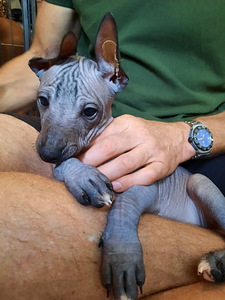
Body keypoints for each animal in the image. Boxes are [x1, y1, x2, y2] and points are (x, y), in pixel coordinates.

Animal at [29, 12, 225, 300]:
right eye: (43, 101)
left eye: (90, 112)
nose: (47, 153)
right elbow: (66, 165)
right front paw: (83, 176)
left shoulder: (145, 184)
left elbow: (123, 203)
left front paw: (121, 257)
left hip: (199, 182)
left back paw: (216, 262)